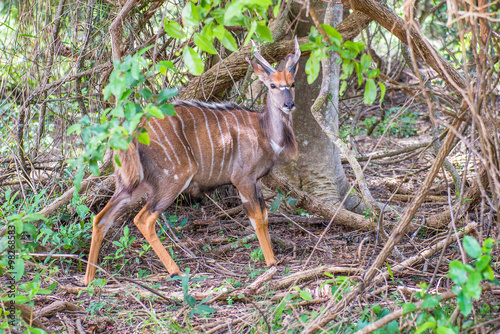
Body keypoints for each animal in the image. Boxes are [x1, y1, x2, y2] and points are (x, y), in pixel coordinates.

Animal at [84, 38, 300, 284]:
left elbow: (264, 216)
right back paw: (175, 271)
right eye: (272, 85)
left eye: (292, 83)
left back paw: (89, 280)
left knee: (101, 218)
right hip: (175, 176)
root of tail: (134, 129)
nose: (289, 104)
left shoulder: (256, 181)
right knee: (144, 219)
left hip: (134, 184)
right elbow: (256, 218)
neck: (265, 131)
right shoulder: (242, 178)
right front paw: (271, 263)